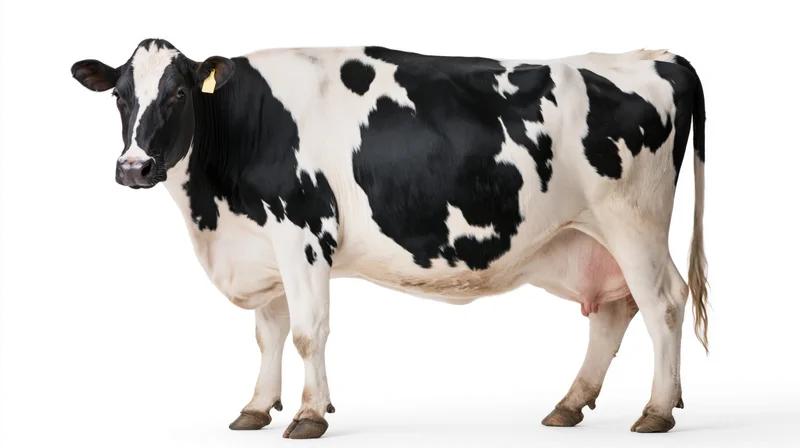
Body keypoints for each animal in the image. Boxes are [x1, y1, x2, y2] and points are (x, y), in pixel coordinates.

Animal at [70, 38, 708, 439]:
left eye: (178, 93)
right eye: (120, 96)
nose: (134, 167)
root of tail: (655, 56)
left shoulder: (303, 231)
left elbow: (307, 332)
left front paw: (309, 415)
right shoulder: (262, 245)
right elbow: (268, 334)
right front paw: (256, 407)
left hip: (634, 222)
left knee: (664, 304)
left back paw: (656, 410)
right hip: (590, 236)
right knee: (615, 310)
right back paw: (571, 405)